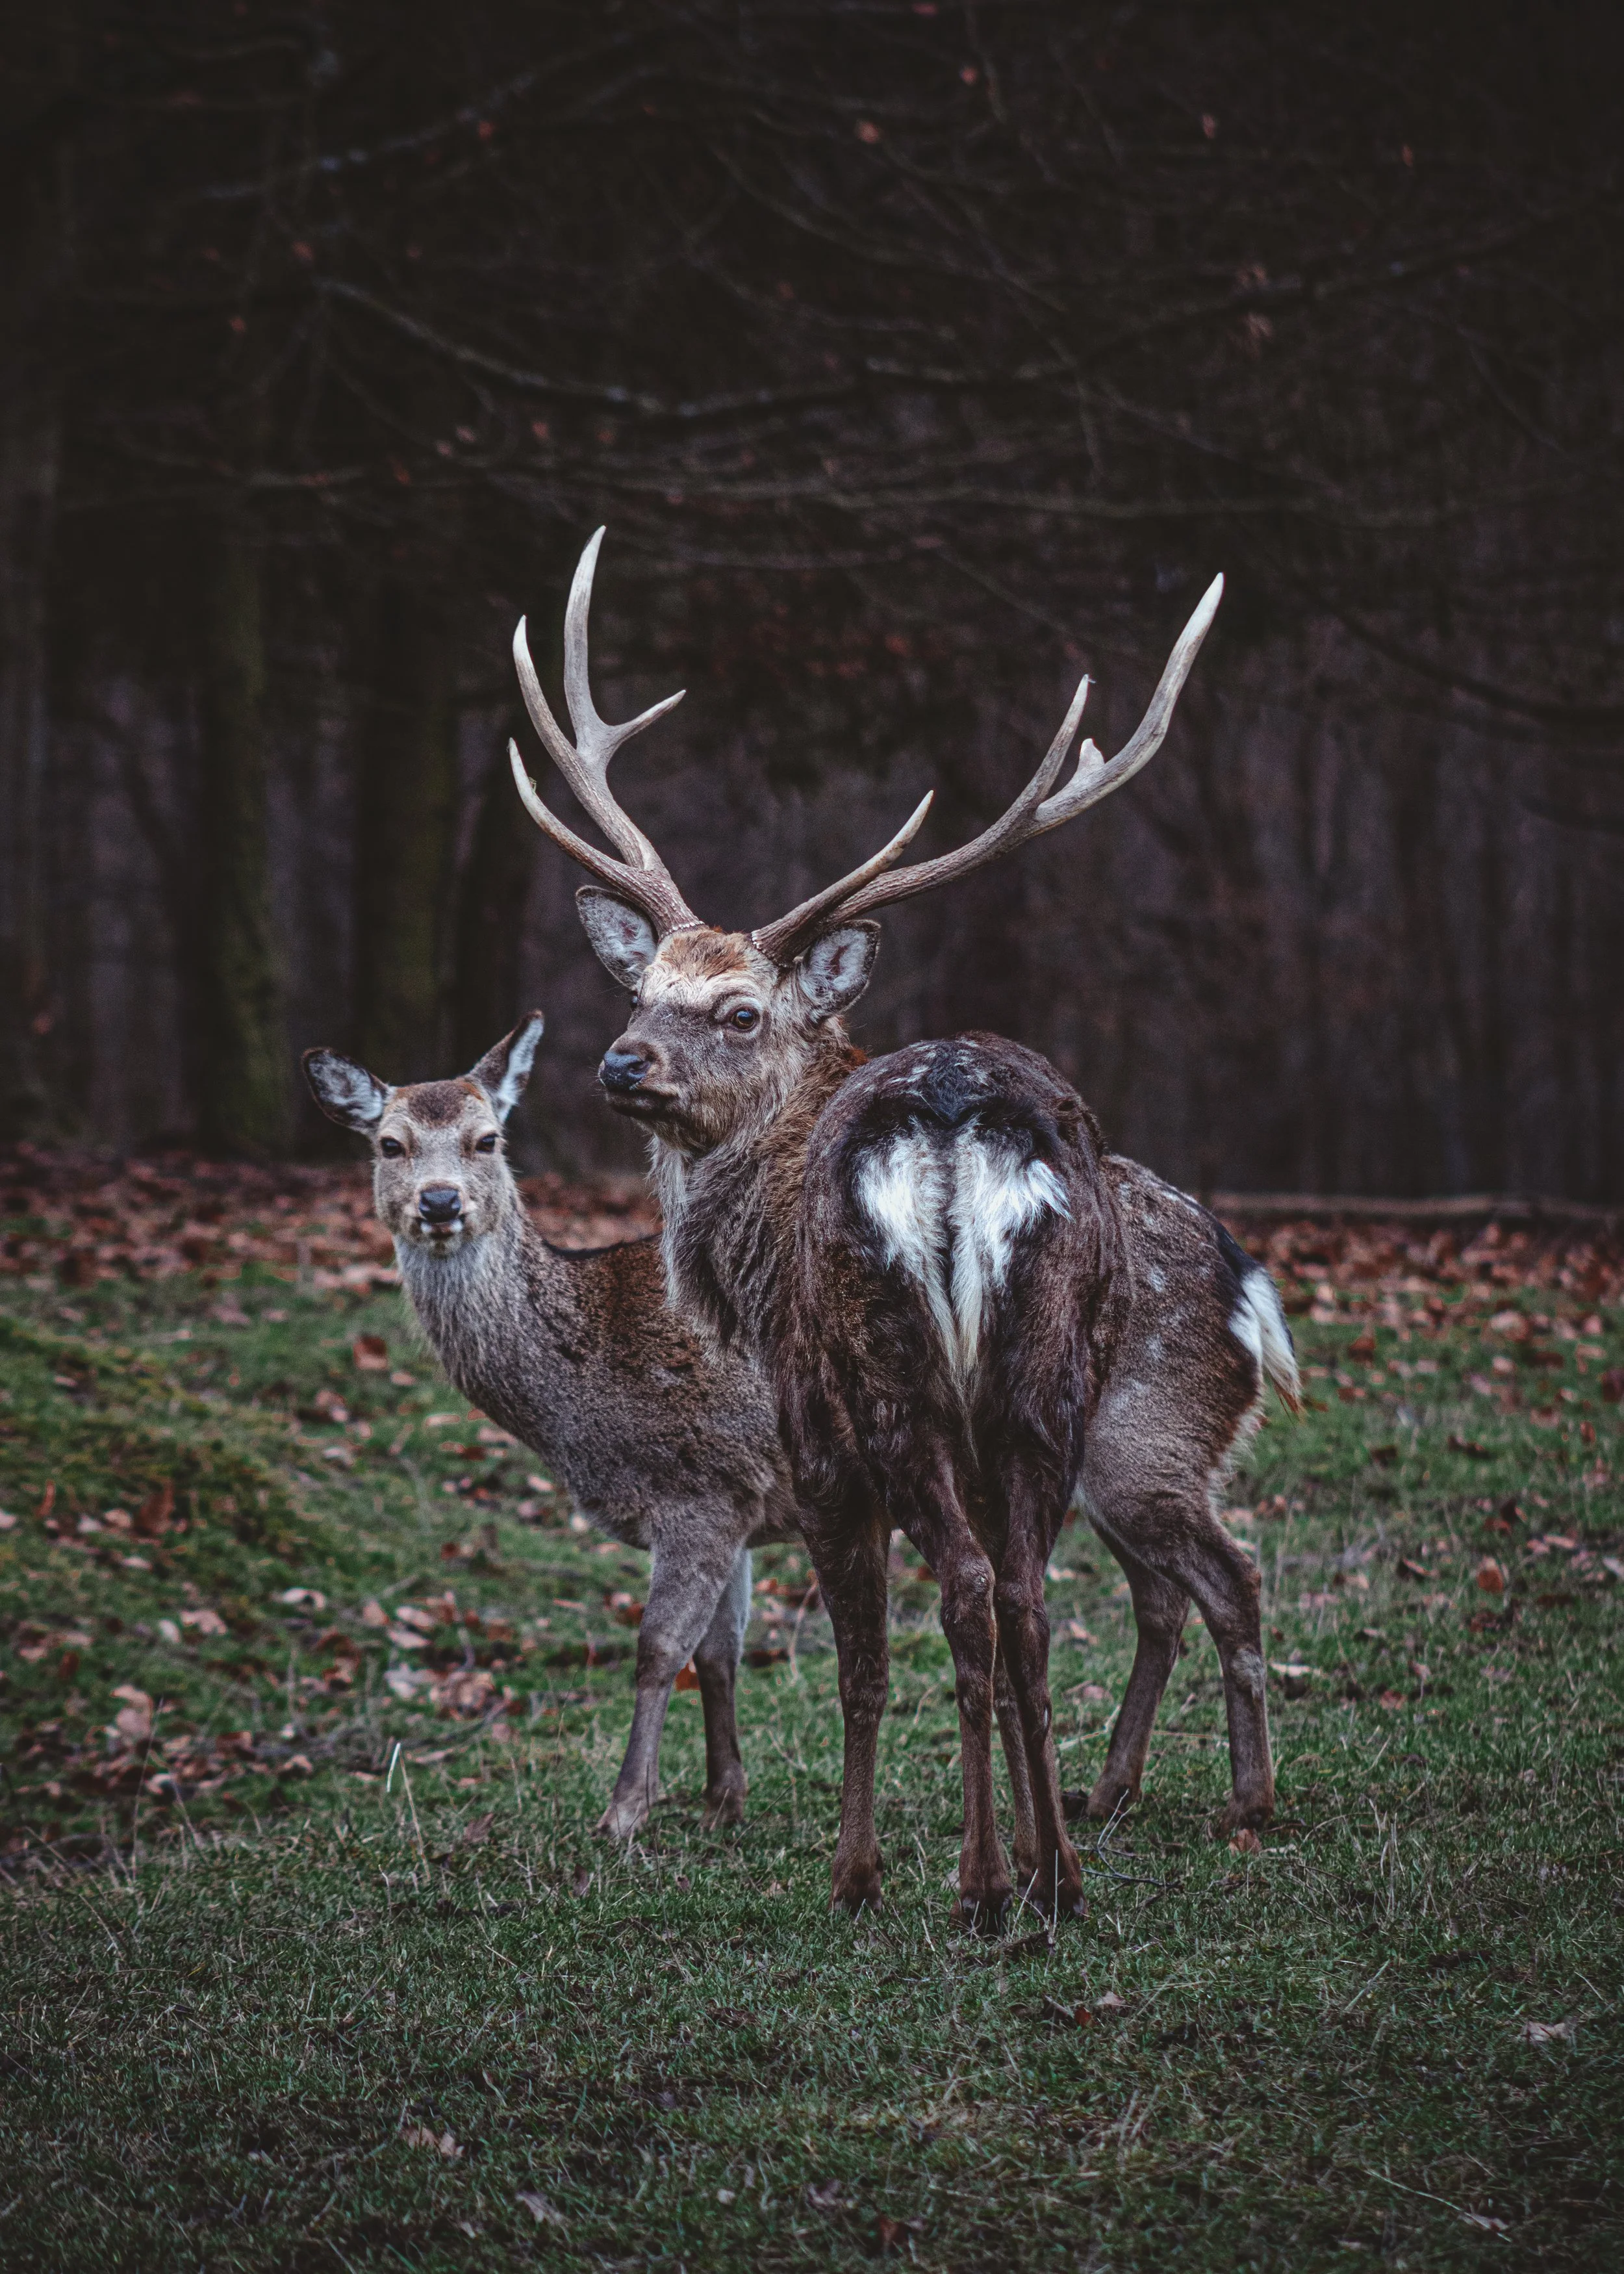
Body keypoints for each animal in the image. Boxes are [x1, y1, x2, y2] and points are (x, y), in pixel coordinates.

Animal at [303, 1015, 805, 1841]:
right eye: (389, 1143)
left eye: (487, 1139)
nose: (438, 1200)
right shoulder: (738, 1504)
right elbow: (720, 1652)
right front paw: (721, 1799)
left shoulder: (700, 1489)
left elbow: (659, 1649)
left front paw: (624, 1811)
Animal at [505, 531, 1301, 1926]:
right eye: (641, 986)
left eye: (739, 1012)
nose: (619, 1064)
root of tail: (954, 1129)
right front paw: (1037, 1854)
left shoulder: (809, 1436)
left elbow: (864, 1661)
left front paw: (862, 1868)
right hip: (1045, 1382)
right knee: (1040, 1596)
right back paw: (1066, 1868)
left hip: (906, 1386)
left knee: (1004, 1595)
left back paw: (975, 1883)